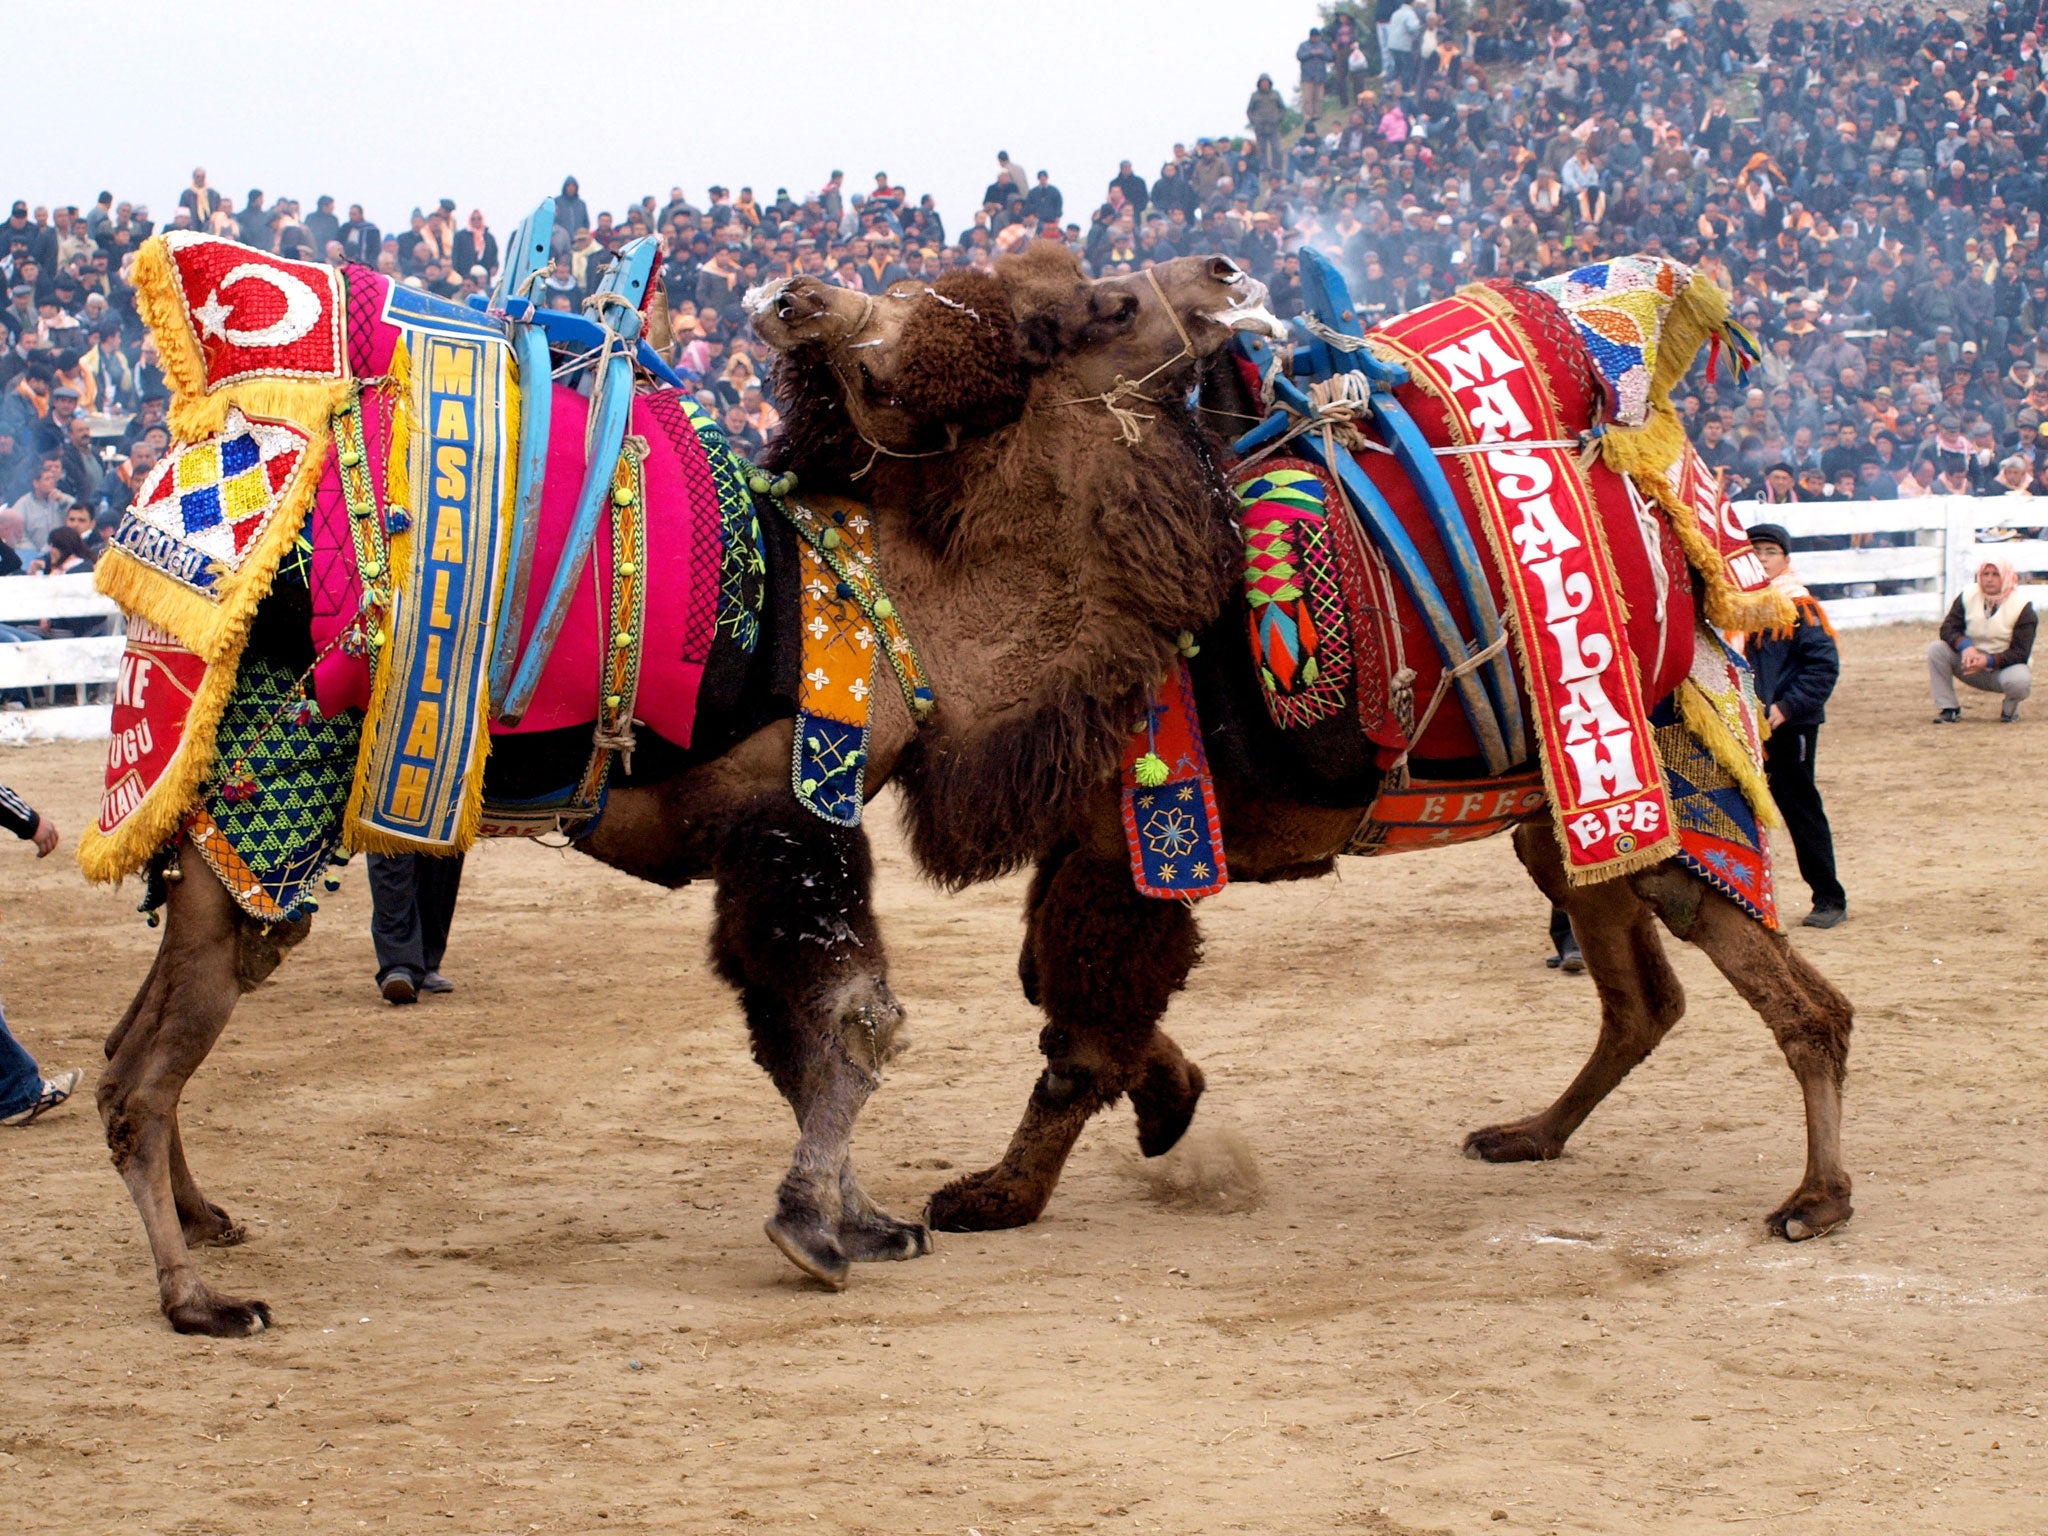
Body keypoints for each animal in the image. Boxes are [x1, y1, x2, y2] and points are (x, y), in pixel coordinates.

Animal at [99, 252, 1277, 1335]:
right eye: (1107, 305)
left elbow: (791, 1037)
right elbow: (856, 1021)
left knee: (128, 1044)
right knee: (140, 1078)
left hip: (206, 828)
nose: (1228, 273)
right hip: (269, 799)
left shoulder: (748, 843)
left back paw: (208, 1221)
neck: (904, 603)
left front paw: (864, 1220)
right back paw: (197, 1299)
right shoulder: (792, 812)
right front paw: (812, 1232)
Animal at [749, 256, 1859, 1253]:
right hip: (1563, 823)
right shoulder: (1095, 843)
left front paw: (997, 1194)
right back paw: (1530, 1133)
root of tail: (1694, 547)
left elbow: (1078, 1031)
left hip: (1665, 787)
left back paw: (1815, 1199)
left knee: (1804, 1004)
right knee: (1642, 1001)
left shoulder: (1135, 843)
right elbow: (1051, 989)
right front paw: (1170, 1102)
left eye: (1100, 307)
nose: (791, 296)